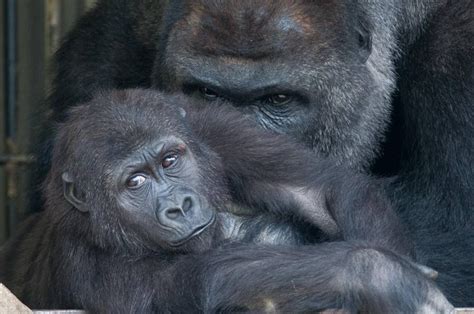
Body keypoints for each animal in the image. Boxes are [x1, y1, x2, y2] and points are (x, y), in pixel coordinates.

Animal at [3, 89, 456, 312]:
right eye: (135, 182)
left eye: (170, 160)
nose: (179, 206)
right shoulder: (91, 269)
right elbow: (204, 282)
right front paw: (378, 276)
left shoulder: (211, 126)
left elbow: (322, 188)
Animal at [38, 0, 474, 306]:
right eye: (208, 92)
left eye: (279, 99)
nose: (237, 131)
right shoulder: (102, 49)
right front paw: (373, 276)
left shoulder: (460, 48)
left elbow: (453, 235)